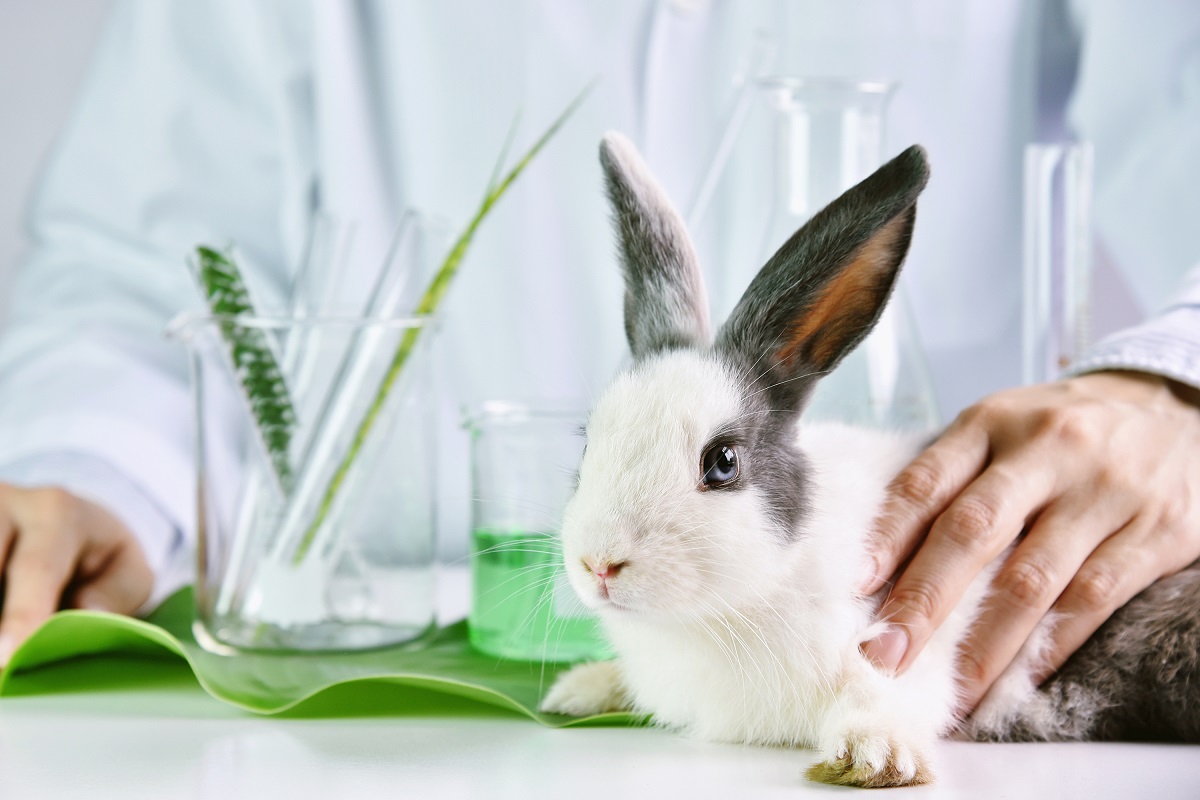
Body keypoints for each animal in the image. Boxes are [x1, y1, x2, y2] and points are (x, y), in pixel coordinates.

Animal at [539, 132, 1200, 787]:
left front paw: (873, 756)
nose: (599, 564)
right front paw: (578, 689)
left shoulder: (901, 647)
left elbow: (879, 691)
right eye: (589, 441)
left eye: (722, 462)